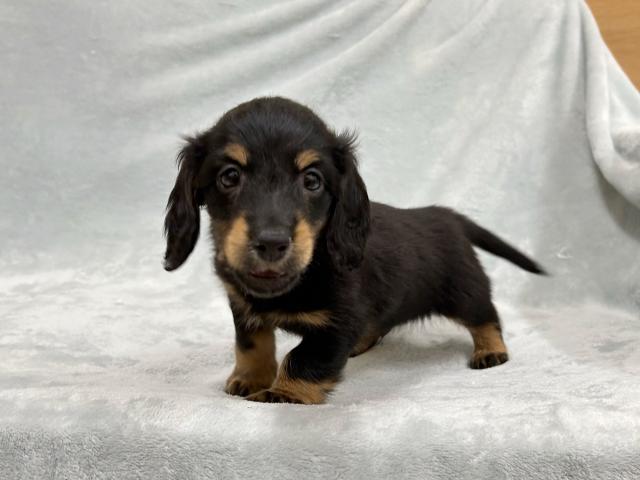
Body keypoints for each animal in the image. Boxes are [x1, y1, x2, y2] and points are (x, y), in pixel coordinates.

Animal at [163, 96, 545, 404]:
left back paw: (491, 350)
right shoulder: (243, 307)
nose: (272, 242)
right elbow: (251, 344)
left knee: (486, 316)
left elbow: (302, 358)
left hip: (464, 290)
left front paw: (283, 393)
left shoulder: (338, 322)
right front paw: (249, 379)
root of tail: (445, 214)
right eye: (229, 176)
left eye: (312, 180)